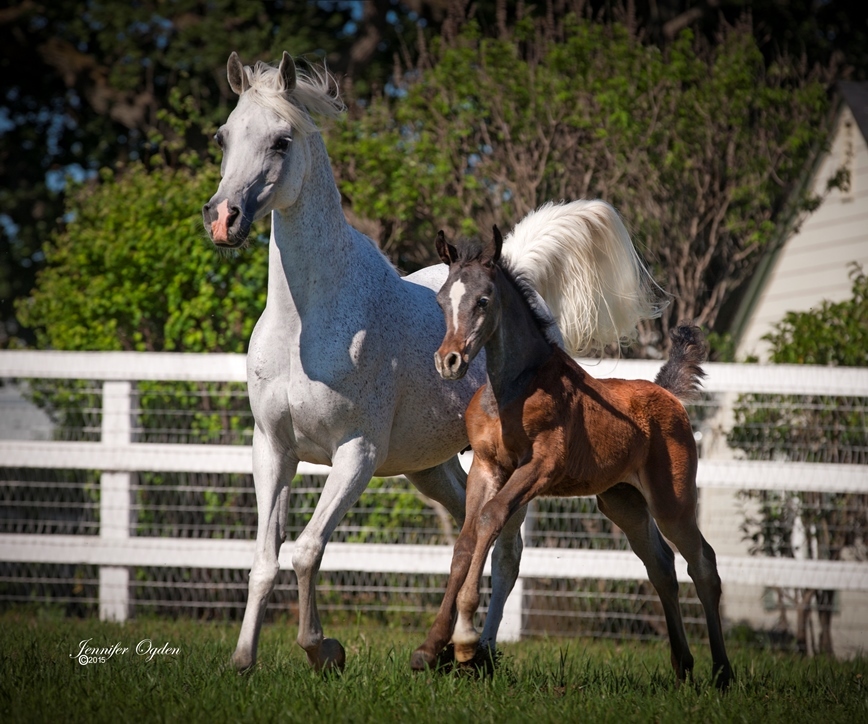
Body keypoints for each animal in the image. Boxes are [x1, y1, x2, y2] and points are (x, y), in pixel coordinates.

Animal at [201, 51, 660, 673]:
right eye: (223, 137)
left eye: (281, 140)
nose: (223, 218)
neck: (306, 327)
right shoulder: (272, 450)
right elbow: (264, 562)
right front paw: (243, 660)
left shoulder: (356, 454)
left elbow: (307, 551)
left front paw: (324, 649)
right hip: (434, 469)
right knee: (476, 537)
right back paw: (453, 646)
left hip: (504, 464)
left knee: (507, 547)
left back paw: (479, 649)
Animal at [412, 227, 732, 690]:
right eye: (441, 300)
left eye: (483, 301)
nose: (448, 361)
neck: (513, 386)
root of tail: (667, 393)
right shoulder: (487, 467)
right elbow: (466, 540)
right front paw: (431, 646)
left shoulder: (540, 467)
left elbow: (491, 518)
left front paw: (467, 640)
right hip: (623, 502)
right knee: (660, 565)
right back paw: (682, 665)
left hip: (672, 501)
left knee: (703, 564)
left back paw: (722, 672)